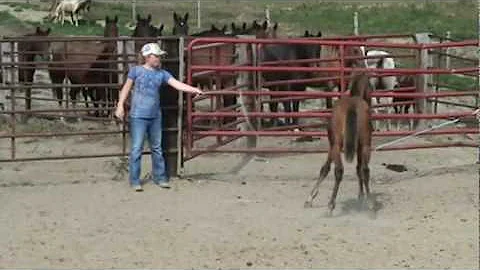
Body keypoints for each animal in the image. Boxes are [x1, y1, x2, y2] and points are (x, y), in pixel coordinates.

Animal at [304, 70, 376, 216]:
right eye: (371, 87)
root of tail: (352, 106)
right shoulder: (358, 148)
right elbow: (358, 169)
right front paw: (361, 196)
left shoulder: (332, 145)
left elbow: (325, 168)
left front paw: (310, 197)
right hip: (365, 146)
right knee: (364, 170)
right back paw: (370, 204)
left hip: (337, 146)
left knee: (339, 171)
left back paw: (331, 205)